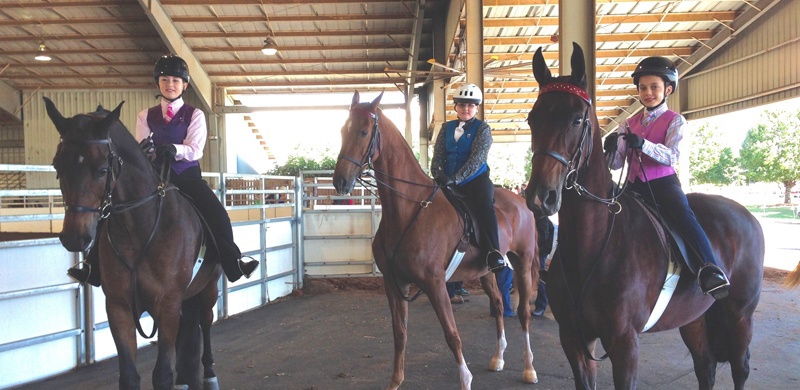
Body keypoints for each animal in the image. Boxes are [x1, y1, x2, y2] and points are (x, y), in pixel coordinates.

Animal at [45, 98, 223, 390]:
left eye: (102, 170)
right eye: (58, 167)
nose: (74, 237)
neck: (139, 231)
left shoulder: (167, 304)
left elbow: (162, 374)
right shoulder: (119, 307)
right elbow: (129, 375)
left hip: (208, 289)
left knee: (206, 326)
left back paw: (209, 375)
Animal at [332, 92, 544, 390]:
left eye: (363, 132)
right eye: (342, 130)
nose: (340, 181)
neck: (410, 209)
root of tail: (521, 202)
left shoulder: (435, 284)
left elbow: (451, 334)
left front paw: (465, 380)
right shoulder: (394, 283)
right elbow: (399, 333)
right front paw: (395, 381)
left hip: (522, 263)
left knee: (523, 313)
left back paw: (529, 369)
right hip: (486, 271)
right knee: (500, 306)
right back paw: (498, 358)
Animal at [524, 42, 764, 390]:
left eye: (577, 119)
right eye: (533, 118)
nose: (540, 197)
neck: (591, 246)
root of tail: (747, 215)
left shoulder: (625, 344)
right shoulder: (574, 340)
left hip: (739, 315)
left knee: (739, 368)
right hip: (694, 317)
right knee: (705, 366)